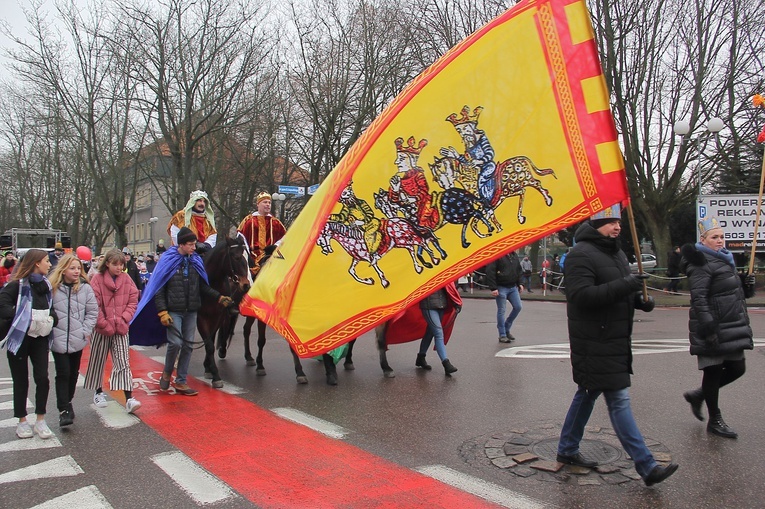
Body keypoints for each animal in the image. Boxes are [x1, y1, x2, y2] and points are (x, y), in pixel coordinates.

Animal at [195, 236, 249, 386]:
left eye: (247, 258)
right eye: (236, 257)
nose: (246, 285)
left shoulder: (217, 316)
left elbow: (211, 341)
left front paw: (209, 369)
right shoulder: (201, 318)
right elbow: (208, 344)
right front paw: (214, 374)